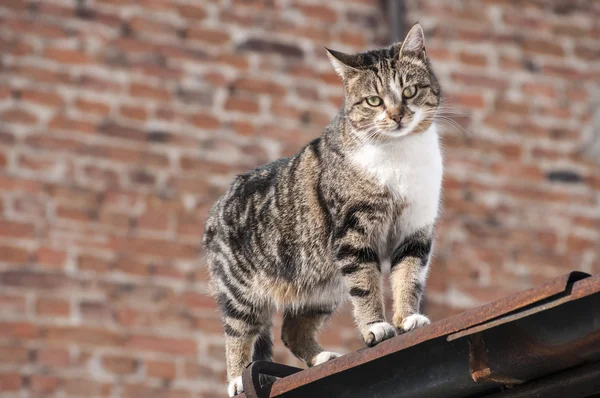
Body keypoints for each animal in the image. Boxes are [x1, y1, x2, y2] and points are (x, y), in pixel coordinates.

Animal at [204, 23, 442, 396]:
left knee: (291, 329)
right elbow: (366, 285)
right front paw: (377, 326)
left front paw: (407, 319)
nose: (397, 116)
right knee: (239, 331)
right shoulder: (353, 232)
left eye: (410, 91)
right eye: (374, 100)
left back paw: (321, 359)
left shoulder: (414, 229)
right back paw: (237, 379)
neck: (400, 155)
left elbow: (409, 277)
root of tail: (219, 203)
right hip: (241, 289)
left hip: (322, 285)